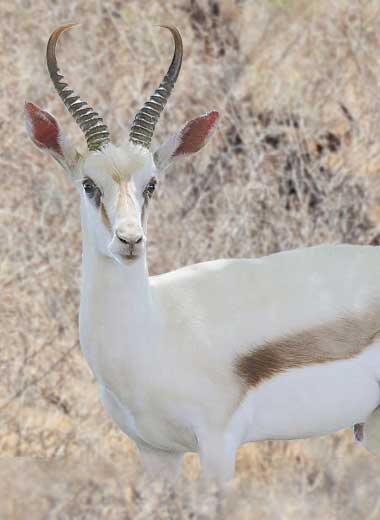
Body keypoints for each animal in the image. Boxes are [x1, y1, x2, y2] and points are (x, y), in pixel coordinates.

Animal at [25, 23, 380, 480]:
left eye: (152, 183)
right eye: (89, 184)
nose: (130, 240)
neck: (154, 328)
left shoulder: (217, 446)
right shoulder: (155, 452)